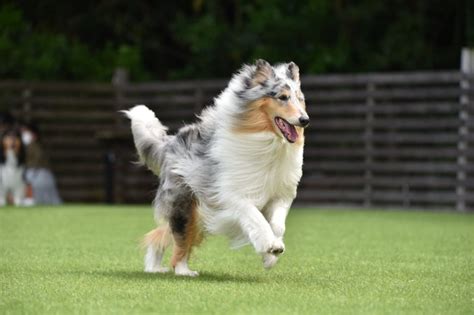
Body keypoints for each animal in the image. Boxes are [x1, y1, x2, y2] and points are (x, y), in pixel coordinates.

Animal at [122, 59, 310, 276]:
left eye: (299, 99)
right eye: (282, 97)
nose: (305, 120)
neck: (270, 143)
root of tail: (170, 142)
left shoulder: (281, 194)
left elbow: (278, 225)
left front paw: (271, 254)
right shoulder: (234, 195)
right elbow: (257, 219)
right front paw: (269, 246)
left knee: (162, 234)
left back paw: (154, 267)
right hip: (185, 206)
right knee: (180, 242)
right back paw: (183, 271)